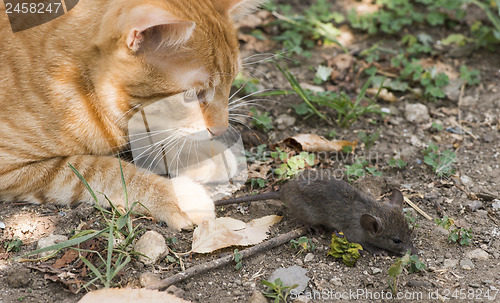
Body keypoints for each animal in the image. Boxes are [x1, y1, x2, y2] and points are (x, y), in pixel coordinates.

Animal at [0, 0, 264, 230]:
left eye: (231, 81)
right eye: (192, 95)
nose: (221, 129)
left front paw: (201, 155)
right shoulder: (12, 167)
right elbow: (105, 170)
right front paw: (177, 197)